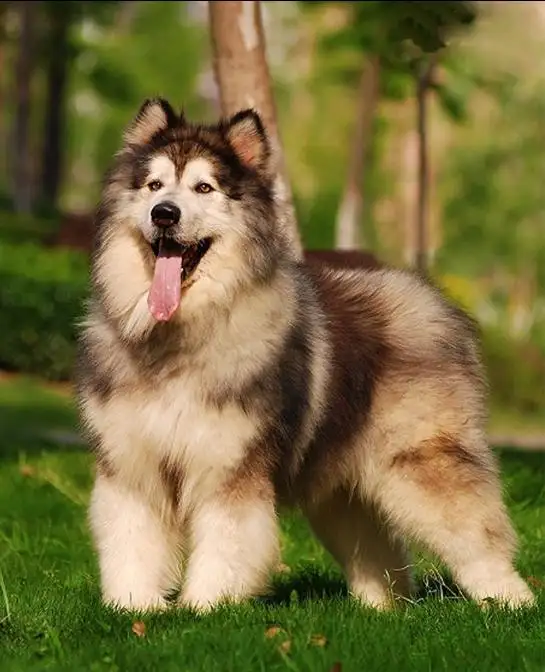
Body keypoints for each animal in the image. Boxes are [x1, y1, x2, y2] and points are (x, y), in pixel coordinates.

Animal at [75, 97, 532, 612]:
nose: (164, 214)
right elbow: (132, 540)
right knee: (381, 555)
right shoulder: (132, 467)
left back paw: (510, 603)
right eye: (153, 185)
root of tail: (433, 298)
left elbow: (225, 545)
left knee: (480, 539)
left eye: (204, 187)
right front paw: (134, 607)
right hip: (343, 493)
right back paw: (385, 613)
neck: (177, 338)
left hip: (423, 465)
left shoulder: (230, 469)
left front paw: (205, 608)